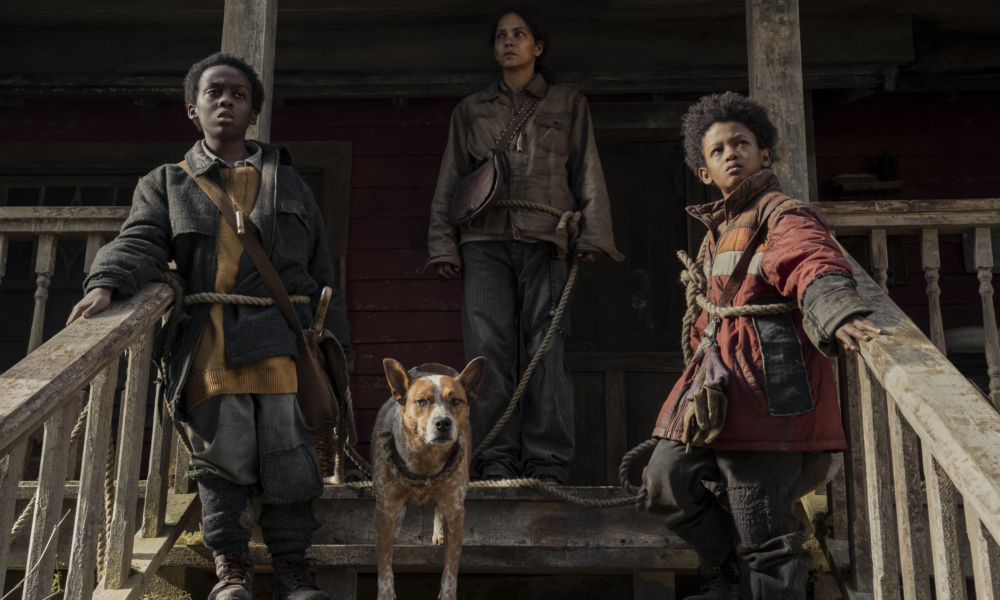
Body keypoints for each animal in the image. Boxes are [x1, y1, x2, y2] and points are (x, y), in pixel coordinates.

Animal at [374, 358, 486, 596]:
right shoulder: (385, 506)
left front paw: (447, 594)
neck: (425, 459)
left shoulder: (455, 509)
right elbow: (385, 566)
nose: (443, 423)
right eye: (422, 402)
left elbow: (450, 569)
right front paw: (386, 594)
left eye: (456, 401)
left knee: (437, 508)